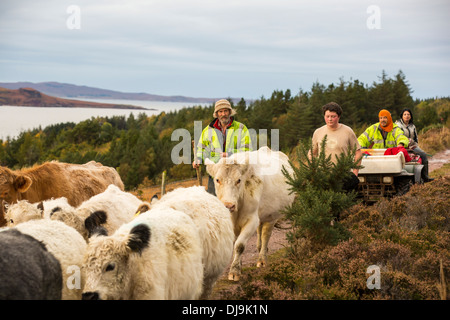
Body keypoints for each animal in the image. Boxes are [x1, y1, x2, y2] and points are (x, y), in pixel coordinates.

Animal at [205, 146, 296, 282]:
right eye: (217, 180)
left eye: (239, 180)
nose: (229, 205)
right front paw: (239, 265)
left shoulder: (251, 220)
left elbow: (239, 245)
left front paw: (234, 271)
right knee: (260, 231)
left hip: (272, 216)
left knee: (265, 235)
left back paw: (262, 259)